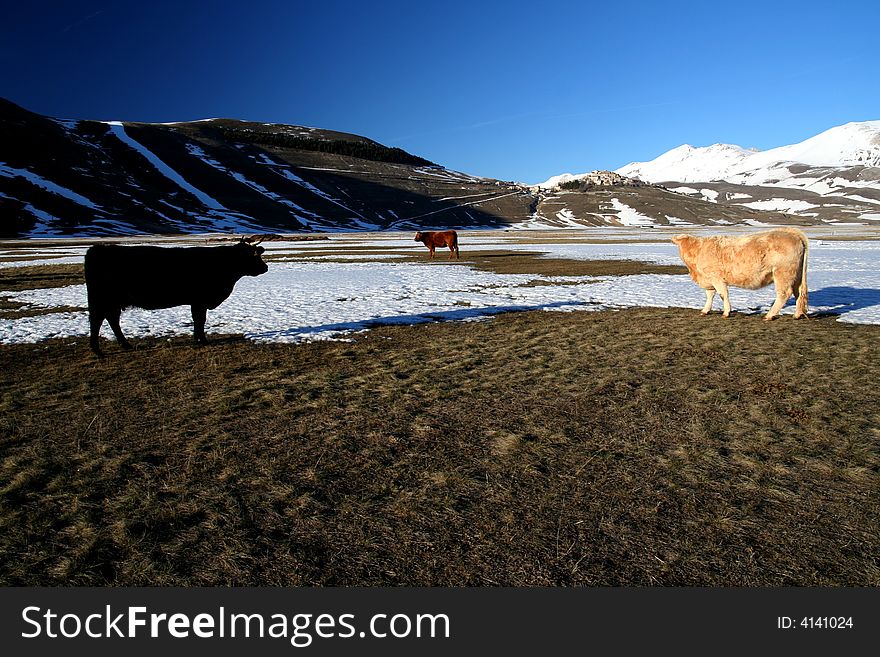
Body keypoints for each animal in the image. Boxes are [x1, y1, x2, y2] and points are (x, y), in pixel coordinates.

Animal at [84, 240, 268, 354]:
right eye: (253, 255)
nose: (265, 268)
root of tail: (96, 249)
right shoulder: (200, 300)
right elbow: (200, 320)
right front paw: (202, 340)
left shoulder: (196, 302)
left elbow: (198, 320)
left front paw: (197, 338)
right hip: (102, 300)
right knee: (97, 320)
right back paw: (97, 350)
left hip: (113, 302)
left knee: (111, 320)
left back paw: (125, 345)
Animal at [672, 228, 812, 320]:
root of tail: (791, 232)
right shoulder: (709, 280)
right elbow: (710, 296)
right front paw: (705, 310)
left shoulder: (717, 278)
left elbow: (723, 294)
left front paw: (726, 312)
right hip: (796, 276)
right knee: (799, 292)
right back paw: (797, 315)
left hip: (782, 273)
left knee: (784, 293)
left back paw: (769, 315)